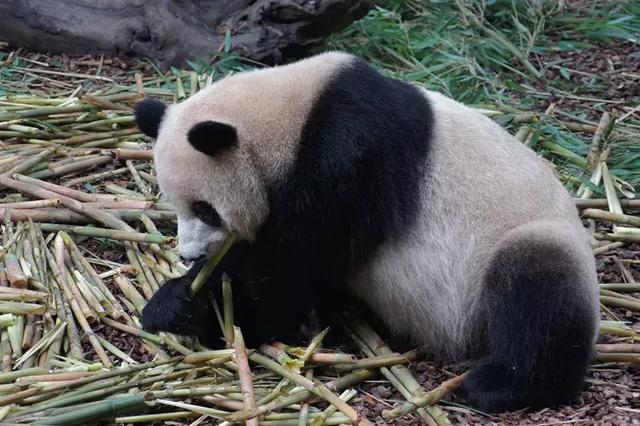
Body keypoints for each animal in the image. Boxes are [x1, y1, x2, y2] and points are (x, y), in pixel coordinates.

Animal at [134, 50, 600, 412]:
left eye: (206, 210)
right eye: (176, 205)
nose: (190, 255)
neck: (288, 117)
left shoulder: (347, 158)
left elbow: (290, 270)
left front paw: (227, 310)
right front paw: (177, 303)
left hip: (526, 238)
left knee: (536, 292)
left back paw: (502, 385)